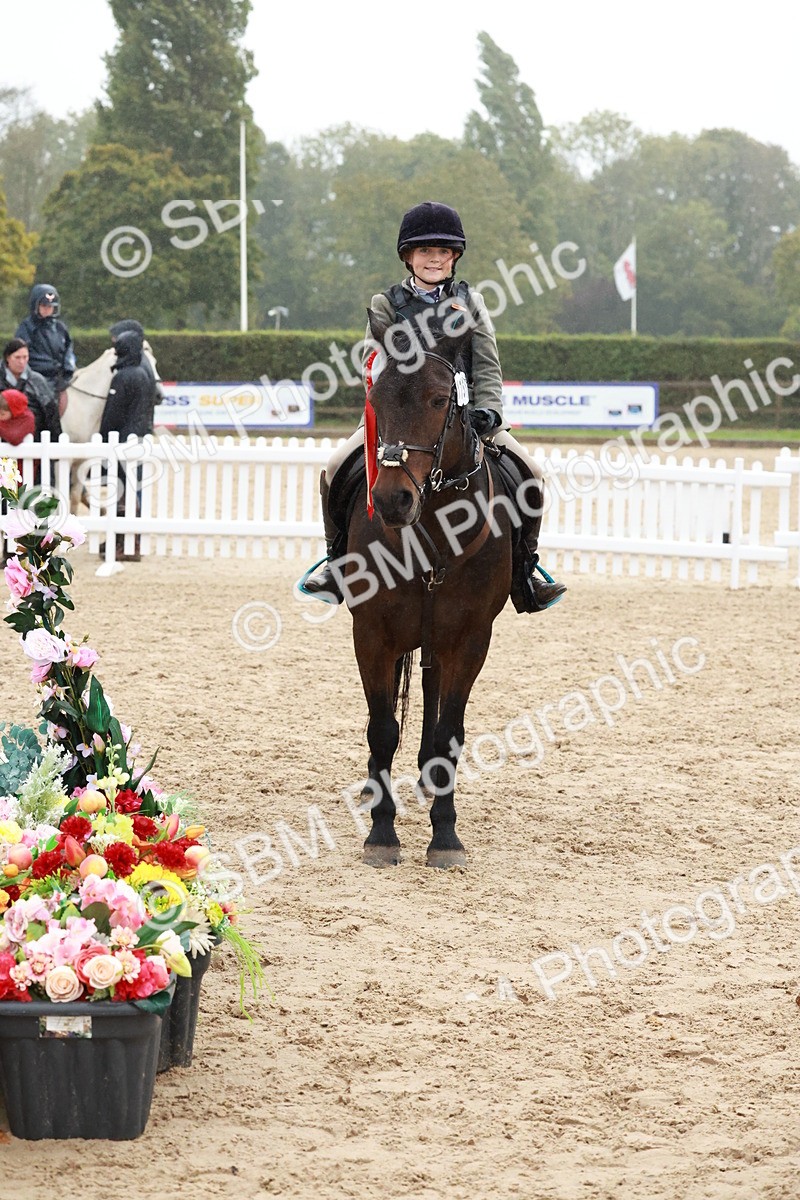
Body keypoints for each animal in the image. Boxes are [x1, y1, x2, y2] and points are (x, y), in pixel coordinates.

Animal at [344, 309, 517, 869]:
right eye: (375, 399)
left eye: (441, 400)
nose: (392, 500)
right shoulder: (372, 633)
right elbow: (381, 728)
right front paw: (381, 833)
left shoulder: (470, 638)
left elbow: (449, 732)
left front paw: (445, 835)